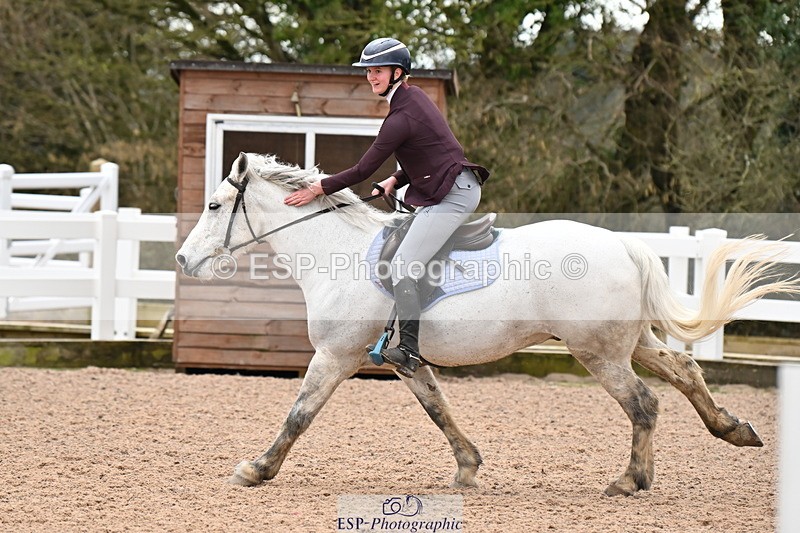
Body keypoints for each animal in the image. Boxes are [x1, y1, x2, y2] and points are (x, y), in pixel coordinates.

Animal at [176, 152, 799, 496]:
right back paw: (733, 430)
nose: (183, 260)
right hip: (631, 342)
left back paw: (630, 481)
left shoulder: (335, 356)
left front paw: (257, 469)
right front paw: (468, 469)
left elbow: (299, 414)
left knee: (644, 403)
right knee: (686, 368)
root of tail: (624, 244)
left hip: (598, 352)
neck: (337, 253)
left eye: (212, 206)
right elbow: (439, 410)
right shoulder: (405, 362)